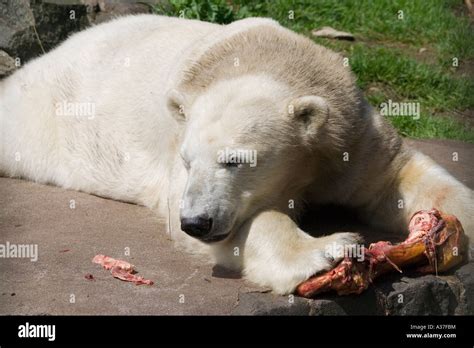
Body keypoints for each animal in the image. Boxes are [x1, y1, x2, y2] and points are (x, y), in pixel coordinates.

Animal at [0, 15, 472, 294]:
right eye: (189, 161)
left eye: (236, 161)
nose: (197, 222)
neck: (261, 60)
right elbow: (252, 224)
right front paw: (328, 249)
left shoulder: (349, 135)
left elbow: (396, 175)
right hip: (39, 115)